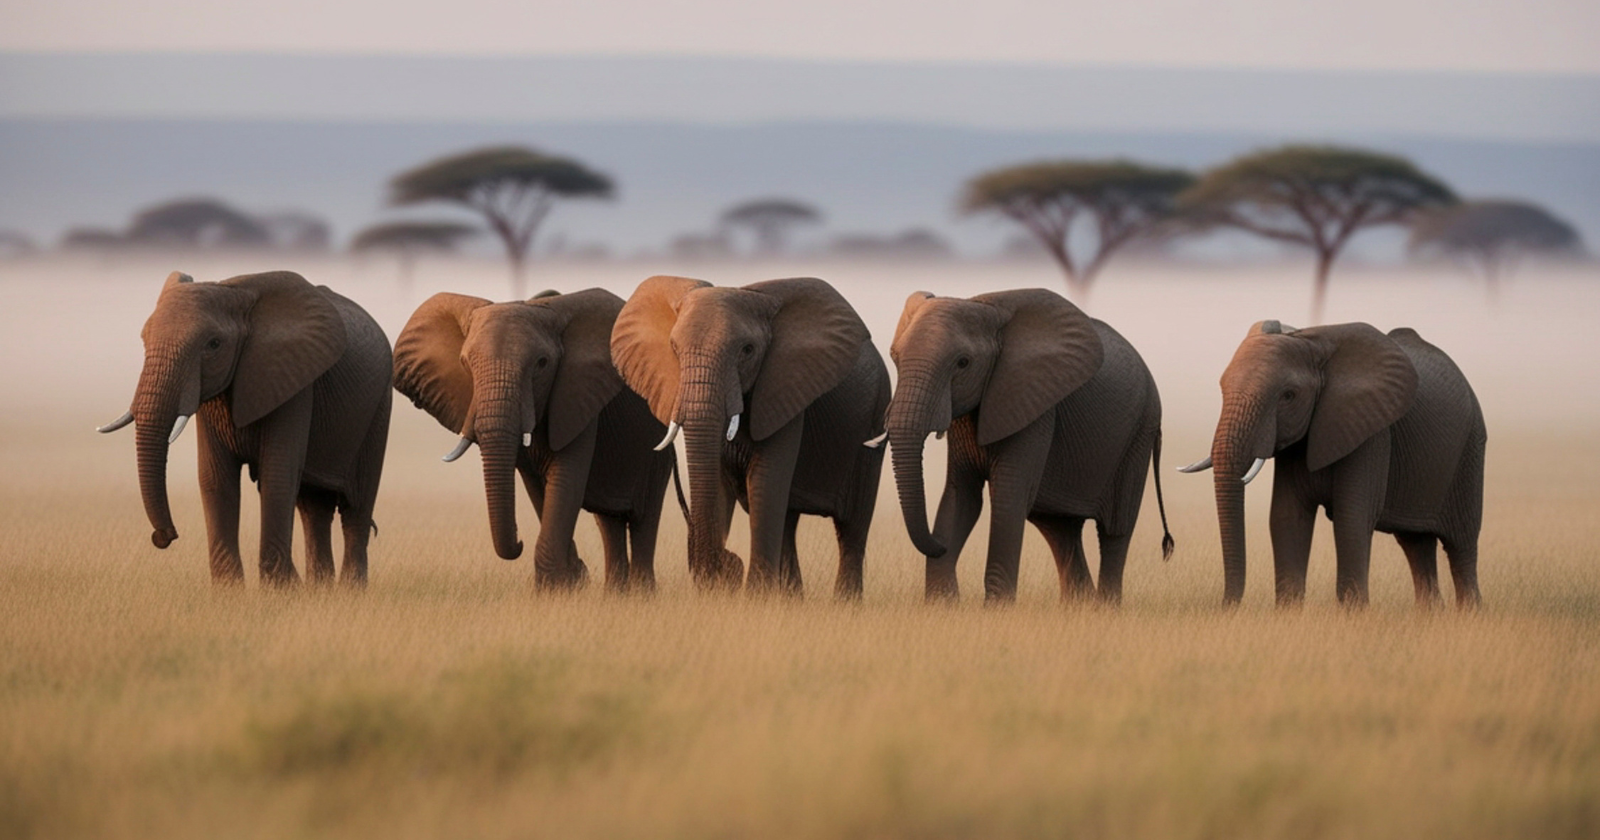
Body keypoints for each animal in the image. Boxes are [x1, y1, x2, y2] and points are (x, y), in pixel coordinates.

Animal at [98, 271, 391, 586]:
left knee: (356, 507)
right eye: (144, 339)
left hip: (379, 406)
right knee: (314, 508)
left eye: (213, 344)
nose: (164, 536)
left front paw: (281, 590)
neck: (235, 292)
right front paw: (230, 591)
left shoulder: (294, 383)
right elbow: (215, 477)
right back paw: (320, 589)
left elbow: (277, 475)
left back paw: (349, 589)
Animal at [391, 288, 674, 592]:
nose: (519, 541)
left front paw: (556, 588)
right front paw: (569, 582)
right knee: (610, 521)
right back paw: (615, 594)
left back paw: (641, 594)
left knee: (644, 517)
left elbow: (564, 480)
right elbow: (537, 487)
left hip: (657, 449)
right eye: (465, 363)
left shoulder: (578, 399)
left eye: (542, 364)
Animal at [610, 275, 890, 597]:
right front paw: (720, 593)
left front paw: (756, 596)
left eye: (747, 350)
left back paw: (844, 602)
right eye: (673, 348)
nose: (727, 563)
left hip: (875, 420)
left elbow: (766, 481)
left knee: (852, 528)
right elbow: (719, 483)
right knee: (789, 521)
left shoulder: (785, 388)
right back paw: (793, 598)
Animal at [885, 288, 1173, 604]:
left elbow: (1008, 497)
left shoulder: (1036, 406)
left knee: (1114, 531)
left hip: (1140, 432)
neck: (985, 306)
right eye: (894, 357)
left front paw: (996, 608)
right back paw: (1080, 606)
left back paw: (1106, 607)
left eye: (963, 363)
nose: (939, 545)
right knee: (1060, 529)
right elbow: (962, 495)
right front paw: (942, 604)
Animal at [1180, 320, 1485, 608]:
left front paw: (1353, 614)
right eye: (1222, 390)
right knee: (1415, 544)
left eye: (1288, 395)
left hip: (1470, 450)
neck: (1312, 341)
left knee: (1461, 545)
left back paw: (1469, 612)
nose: (1225, 607)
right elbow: (1286, 516)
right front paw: (1288, 613)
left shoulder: (1371, 433)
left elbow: (1352, 518)